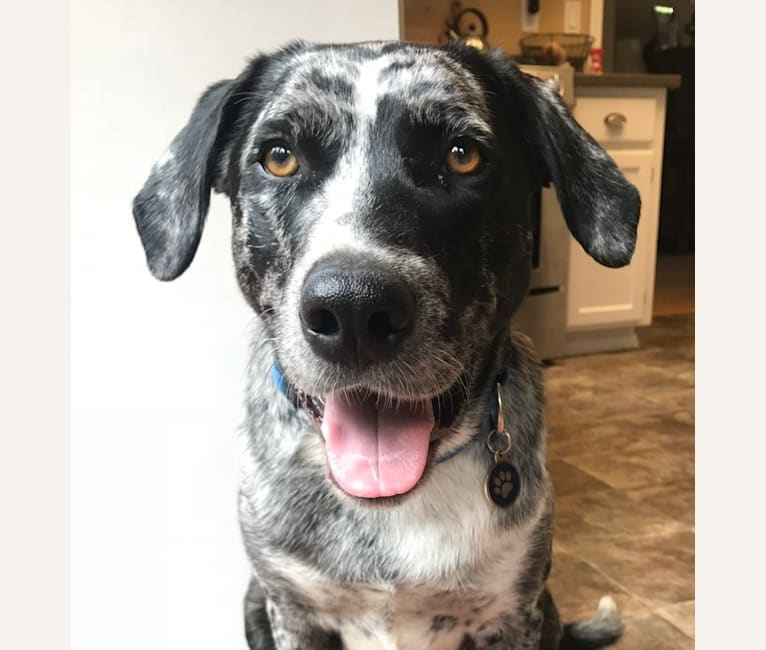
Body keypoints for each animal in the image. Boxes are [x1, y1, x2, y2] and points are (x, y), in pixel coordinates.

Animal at [132, 40, 640, 648]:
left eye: (462, 155)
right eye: (279, 157)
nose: (353, 309)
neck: (392, 504)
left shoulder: (513, 612)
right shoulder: (290, 608)